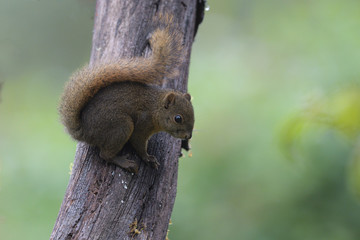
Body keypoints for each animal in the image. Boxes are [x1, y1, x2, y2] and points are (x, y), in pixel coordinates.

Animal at [58, 14, 194, 172]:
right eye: (177, 118)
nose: (188, 136)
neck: (155, 107)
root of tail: (84, 132)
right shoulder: (142, 124)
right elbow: (138, 143)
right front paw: (148, 158)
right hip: (121, 126)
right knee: (105, 155)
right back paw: (125, 163)